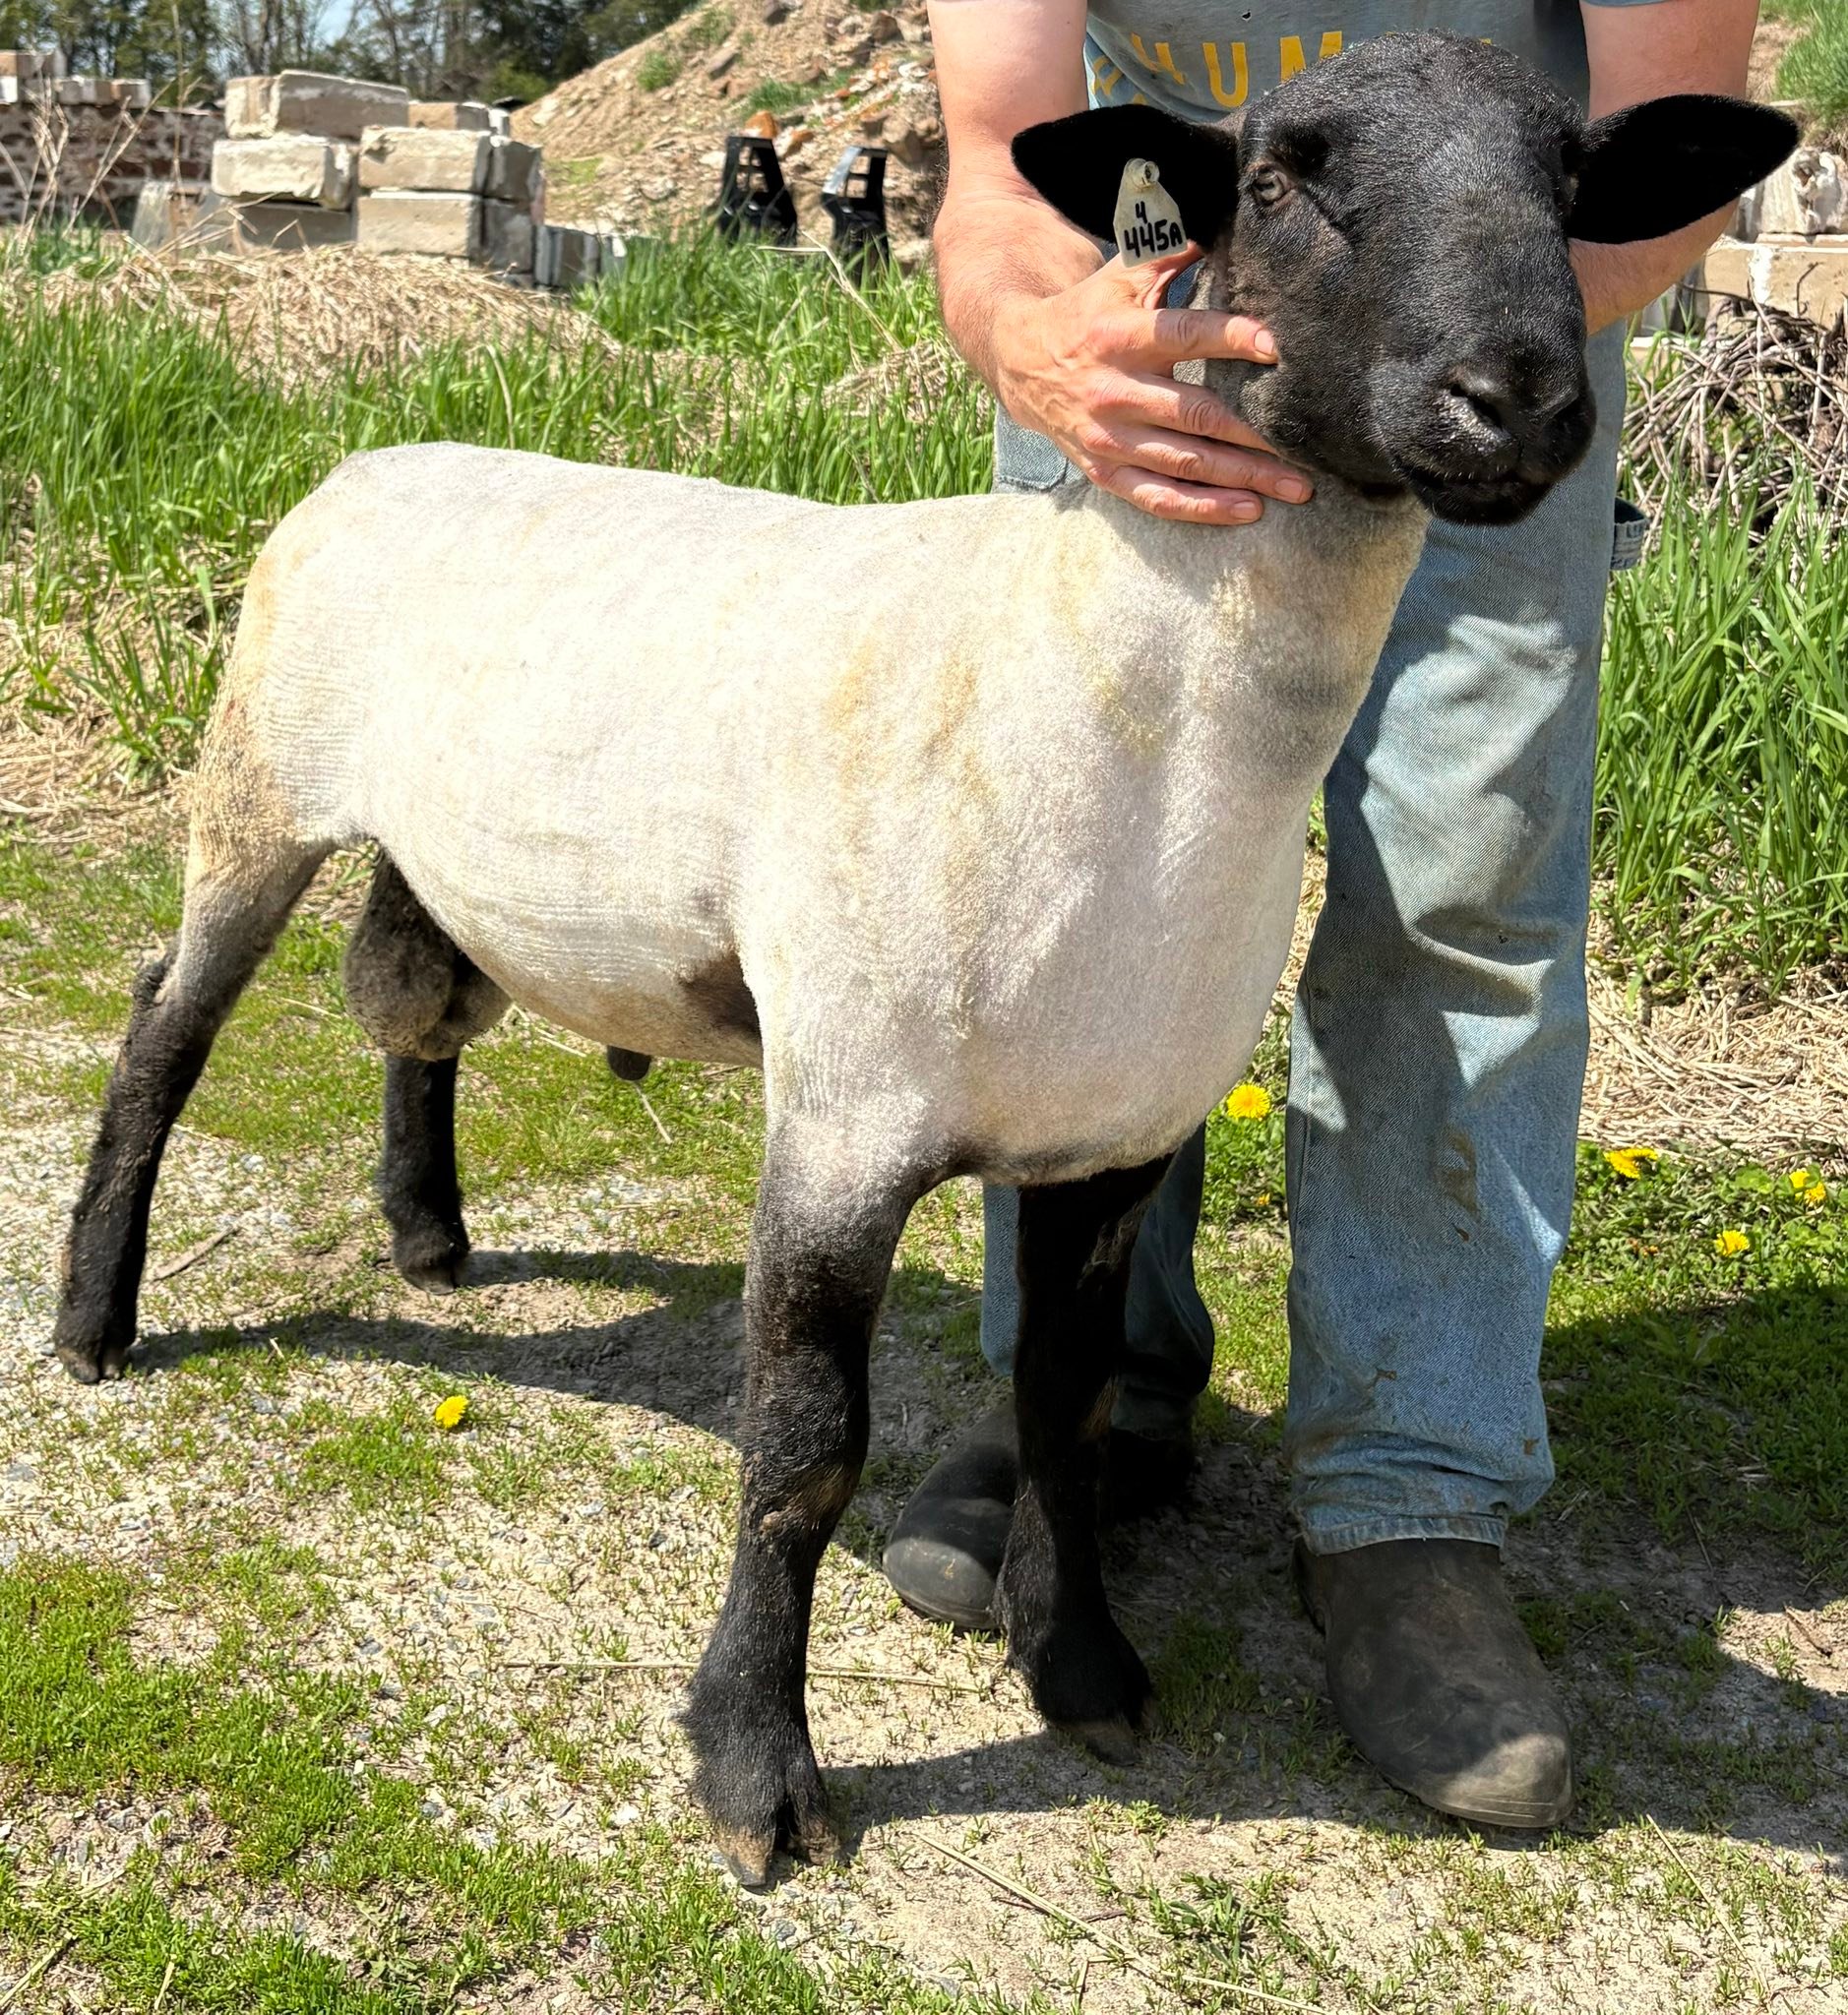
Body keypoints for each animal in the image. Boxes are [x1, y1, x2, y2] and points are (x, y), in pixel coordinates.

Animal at [52, 33, 1790, 1887]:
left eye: (1569, 187)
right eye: (1278, 178)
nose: (1513, 405)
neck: (1109, 692)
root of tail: (373, 458)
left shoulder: (1116, 1133)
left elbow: (1064, 1413)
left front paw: (1079, 1664)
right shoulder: (842, 1120)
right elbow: (803, 1458)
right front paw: (756, 1773)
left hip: (438, 852)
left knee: (416, 1007)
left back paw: (429, 1234)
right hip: (261, 780)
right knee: (165, 1032)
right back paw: (96, 1320)